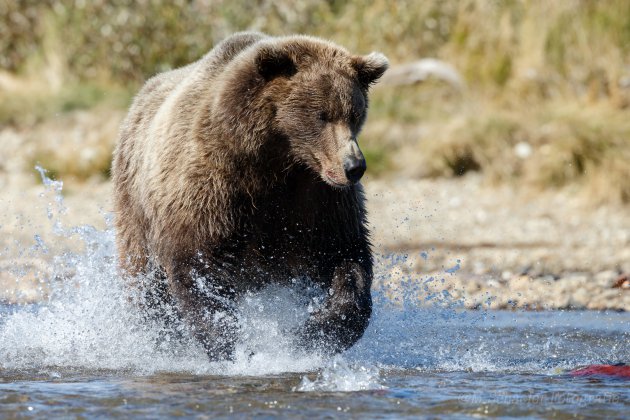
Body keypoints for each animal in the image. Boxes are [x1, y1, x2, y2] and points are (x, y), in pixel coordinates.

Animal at [113, 33, 390, 360]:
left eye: (355, 114)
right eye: (321, 115)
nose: (354, 166)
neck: (276, 161)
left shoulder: (318, 199)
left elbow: (345, 255)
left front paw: (313, 331)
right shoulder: (212, 184)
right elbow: (197, 262)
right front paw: (228, 342)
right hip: (136, 205)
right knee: (145, 282)